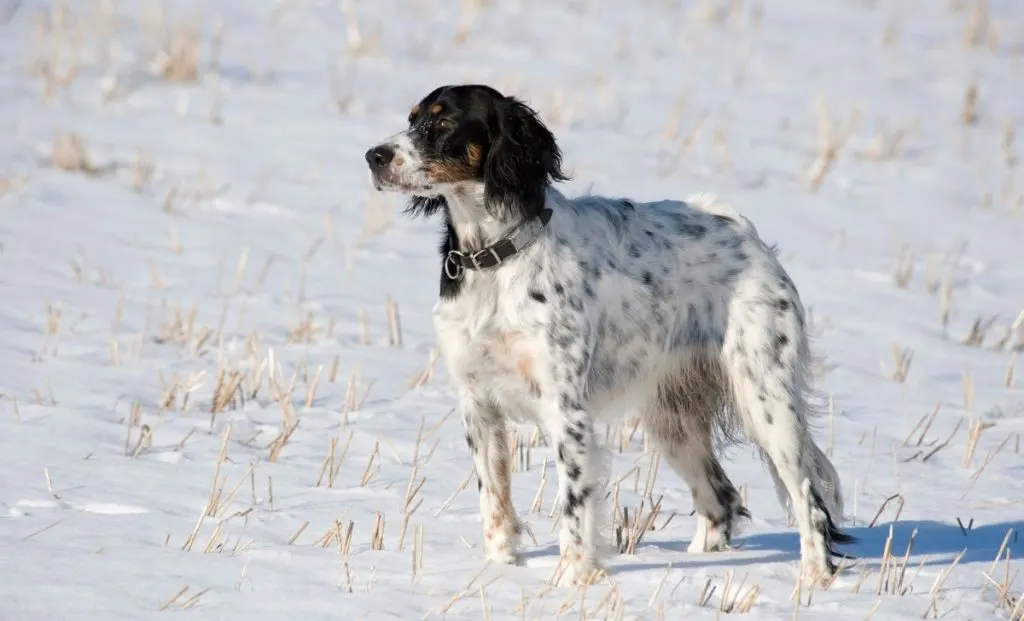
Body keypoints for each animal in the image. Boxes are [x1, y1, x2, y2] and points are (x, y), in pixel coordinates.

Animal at [364, 85, 851, 586]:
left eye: (444, 122)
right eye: (412, 118)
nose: (373, 156)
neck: (495, 258)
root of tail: (744, 232)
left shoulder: (566, 410)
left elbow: (575, 507)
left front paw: (572, 580)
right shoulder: (478, 406)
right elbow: (494, 503)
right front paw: (499, 570)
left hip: (766, 400)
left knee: (808, 499)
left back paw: (814, 580)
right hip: (673, 419)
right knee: (721, 498)